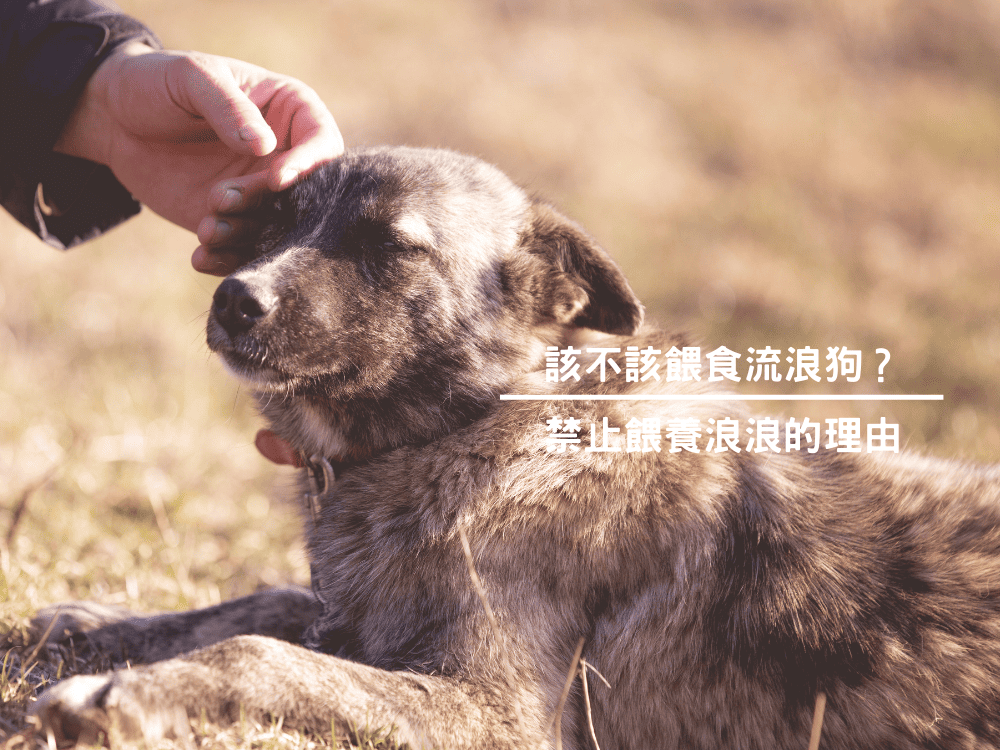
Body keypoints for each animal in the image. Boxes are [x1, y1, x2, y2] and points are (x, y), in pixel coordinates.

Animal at [27, 145, 1000, 748]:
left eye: (391, 246)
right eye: (273, 223)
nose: (236, 299)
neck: (471, 427)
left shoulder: (494, 711)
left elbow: (267, 655)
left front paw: (121, 693)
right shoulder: (362, 614)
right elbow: (263, 605)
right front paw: (107, 625)